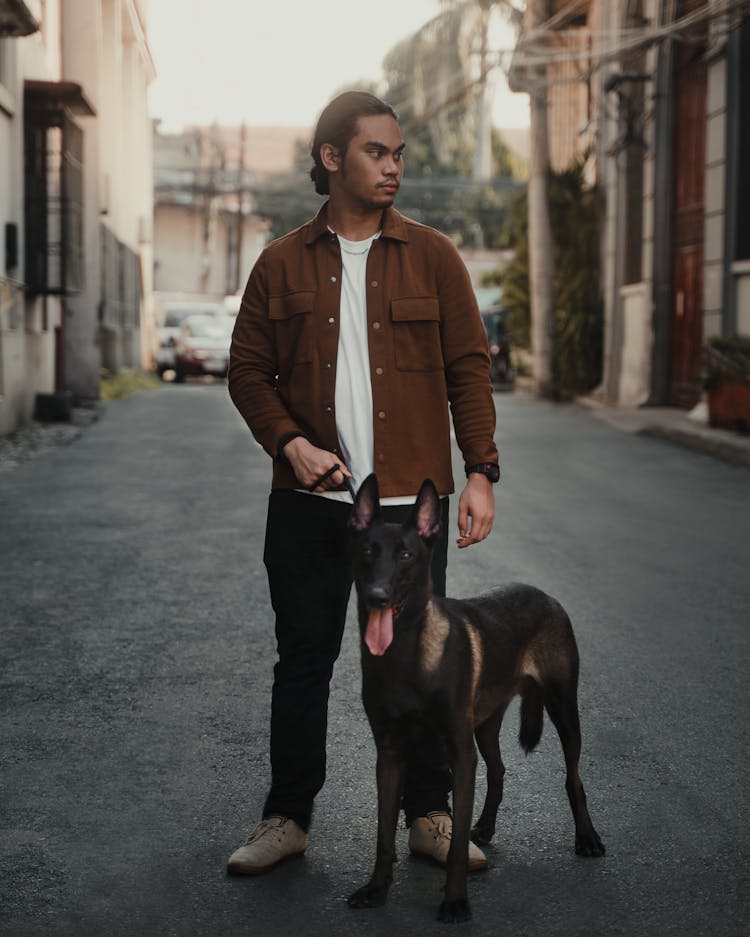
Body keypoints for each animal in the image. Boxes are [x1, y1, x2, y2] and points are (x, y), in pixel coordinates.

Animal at [348, 476, 604, 920]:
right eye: (367, 551)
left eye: (405, 555)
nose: (377, 596)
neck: (406, 654)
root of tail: (545, 594)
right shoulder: (390, 754)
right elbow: (383, 833)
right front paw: (377, 888)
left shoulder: (460, 753)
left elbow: (454, 847)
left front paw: (455, 901)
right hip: (485, 725)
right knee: (499, 769)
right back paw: (485, 825)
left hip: (563, 711)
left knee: (573, 777)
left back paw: (586, 837)